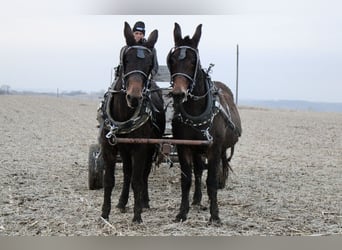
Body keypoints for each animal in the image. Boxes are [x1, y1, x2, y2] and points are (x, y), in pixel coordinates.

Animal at [100, 22, 166, 223]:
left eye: (150, 63)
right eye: (126, 60)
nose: (134, 97)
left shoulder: (140, 148)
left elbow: (138, 180)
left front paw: (137, 215)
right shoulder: (109, 147)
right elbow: (109, 180)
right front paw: (105, 213)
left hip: (149, 148)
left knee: (143, 174)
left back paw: (144, 202)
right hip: (124, 148)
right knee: (128, 172)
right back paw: (122, 202)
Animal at [167, 22, 242, 224]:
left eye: (194, 61)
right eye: (172, 60)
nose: (178, 94)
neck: (195, 110)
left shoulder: (214, 148)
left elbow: (211, 181)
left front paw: (214, 214)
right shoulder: (184, 146)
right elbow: (187, 179)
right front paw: (182, 212)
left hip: (220, 148)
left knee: (218, 167)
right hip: (197, 149)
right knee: (199, 170)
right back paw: (197, 200)